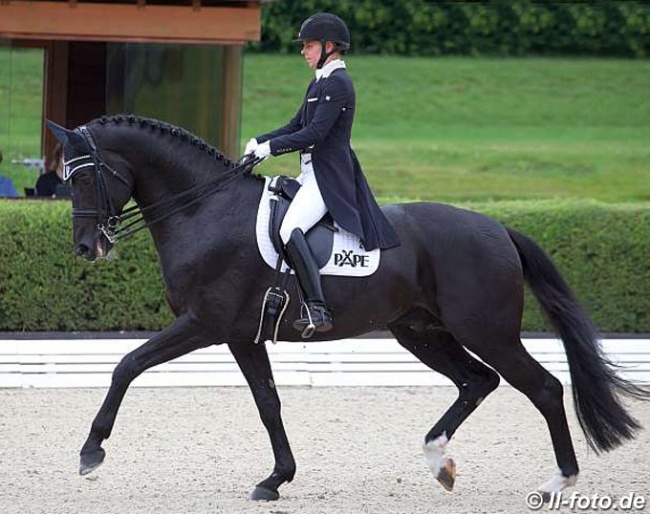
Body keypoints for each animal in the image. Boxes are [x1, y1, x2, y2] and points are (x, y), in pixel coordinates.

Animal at [48, 113, 644, 500]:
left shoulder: (203, 324)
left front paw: (91, 452)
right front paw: (275, 479)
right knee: (477, 382)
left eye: (84, 175)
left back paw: (558, 482)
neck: (204, 210)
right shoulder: (242, 334)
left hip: (486, 331)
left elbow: (127, 365)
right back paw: (438, 461)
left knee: (542, 387)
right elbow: (268, 404)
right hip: (422, 331)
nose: (86, 248)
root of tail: (498, 227)